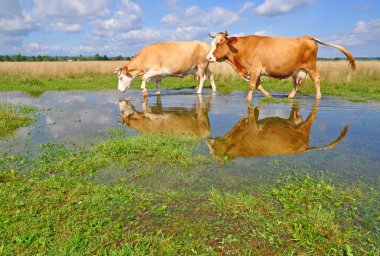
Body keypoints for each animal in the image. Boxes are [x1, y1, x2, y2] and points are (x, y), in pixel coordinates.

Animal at [206, 100, 348, 159]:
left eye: (214, 153)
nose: (207, 140)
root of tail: (304, 149)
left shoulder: (253, 127)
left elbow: (251, 113)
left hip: (305, 127)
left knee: (313, 116)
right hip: (295, 122)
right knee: (297, 116)